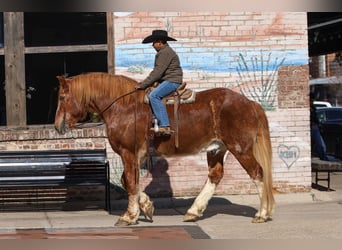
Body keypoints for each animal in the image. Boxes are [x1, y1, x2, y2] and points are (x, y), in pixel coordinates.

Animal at [54, 72, 276, 227]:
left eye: (62, 97)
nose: (57, 126)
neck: (123, 108)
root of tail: (249, 103)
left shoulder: (128, 153)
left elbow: (130, 182)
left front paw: (129, 216)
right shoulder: (135, 156)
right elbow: (128, 181)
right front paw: (146, 206)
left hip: (240, 149)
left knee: (258, 173)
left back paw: (262, 213)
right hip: (216, 149)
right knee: (215, 176)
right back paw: (194, 211)